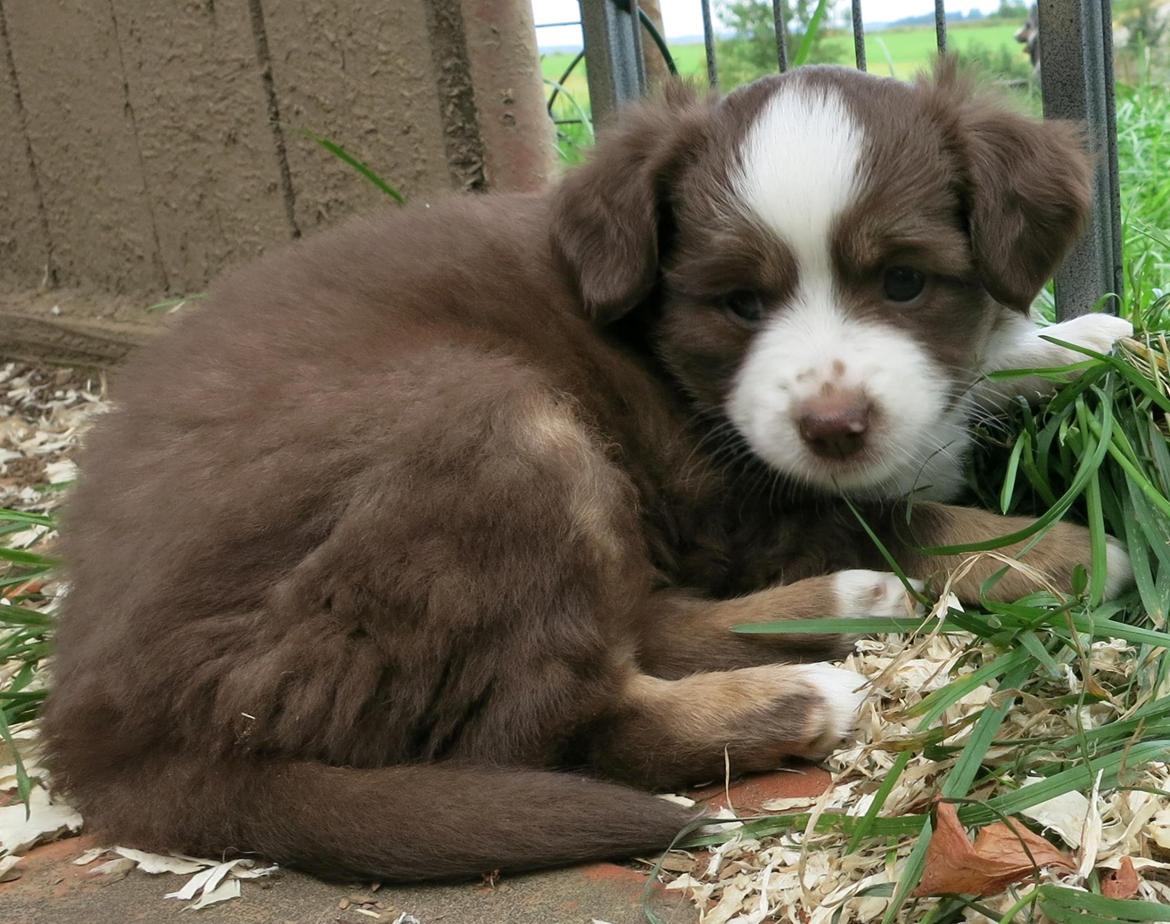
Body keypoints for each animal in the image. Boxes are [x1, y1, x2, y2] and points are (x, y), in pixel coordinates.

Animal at [45, 61, 1132, 884]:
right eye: (740, 303)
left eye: (905, 282)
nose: (832, 426)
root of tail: (97, 728)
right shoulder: (743, 503)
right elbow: (921, 519)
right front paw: (1077, 551)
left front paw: (1085, 338)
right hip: (486, 422)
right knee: (556, 716)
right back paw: (800, 686)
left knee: (629, 630)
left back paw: (847, 606)